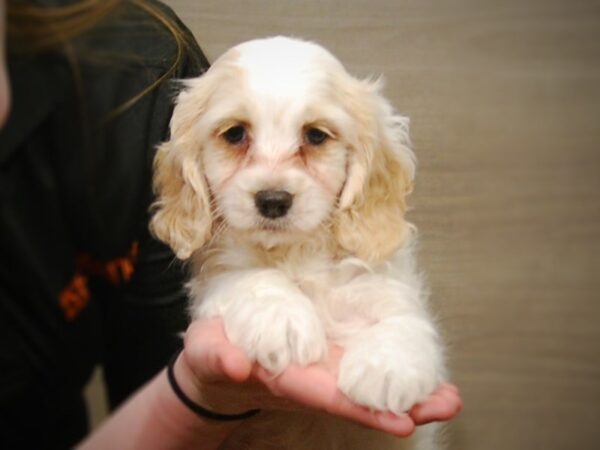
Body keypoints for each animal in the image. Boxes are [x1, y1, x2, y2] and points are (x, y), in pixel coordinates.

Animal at [152, 36, 448, 450]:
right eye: (235, 134)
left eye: (316, 135)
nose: (273, 200)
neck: (296, 252)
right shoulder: (219, 275)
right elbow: (254, 280)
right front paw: (284, 321)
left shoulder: (383, 279)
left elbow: (398, 314)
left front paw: (387, 367)